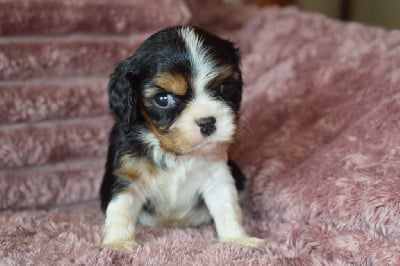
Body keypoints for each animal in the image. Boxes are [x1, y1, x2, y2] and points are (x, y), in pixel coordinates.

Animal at [99, 25, 262, 251]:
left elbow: (228, 208)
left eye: (226, 88)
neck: (176, 154)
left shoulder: (217, 175)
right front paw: (118, 243)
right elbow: (120, 209)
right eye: (163, 99)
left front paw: (238, 239)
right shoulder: (128, 174)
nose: (207, 122)